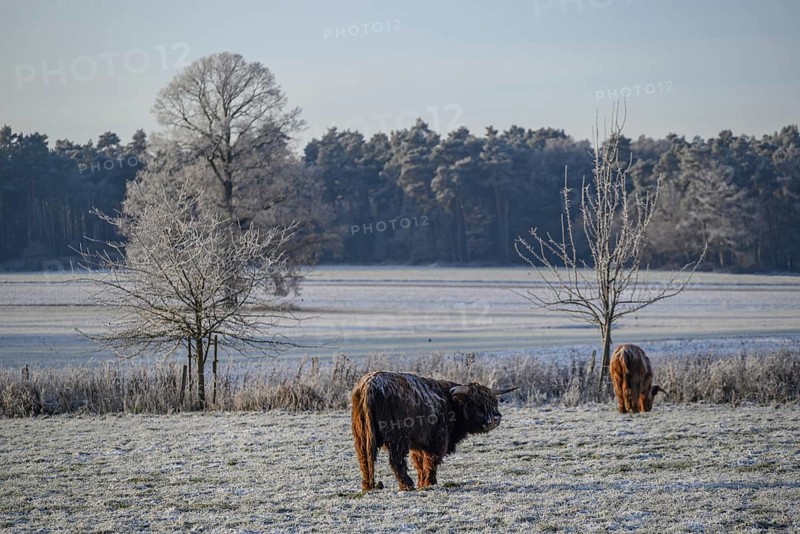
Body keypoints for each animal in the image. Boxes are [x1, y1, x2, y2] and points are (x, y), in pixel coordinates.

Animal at [351, 371, 517, 491]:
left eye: (493, 402)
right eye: (477, 403)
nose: (495, 418)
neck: (451, 404)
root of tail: (369, 385)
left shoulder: (419, 443)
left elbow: (419, 462)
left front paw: (422, 482)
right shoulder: (437, 439)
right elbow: (431, 460)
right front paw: (429, 482)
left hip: (361, 436)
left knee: (364, 460)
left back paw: (368, 486)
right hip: (397, 439)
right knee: (396, 462)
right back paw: (407, 485)